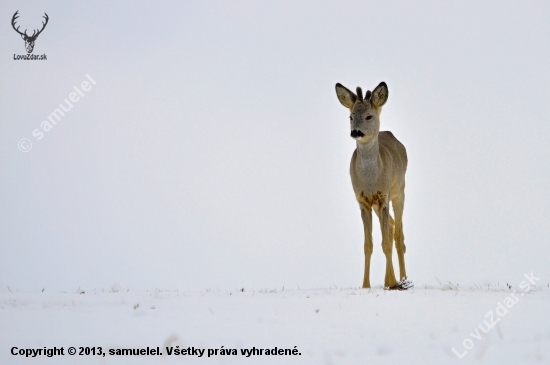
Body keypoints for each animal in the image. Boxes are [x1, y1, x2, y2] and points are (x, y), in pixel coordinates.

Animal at [334, 81, 412, 288]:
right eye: (351, 116)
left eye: (369, 116)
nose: (355, 132)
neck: (370, 179)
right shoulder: (363, 200)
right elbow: (368, 245)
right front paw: (366, 285)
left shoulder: (384, 196)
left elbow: (386, 243)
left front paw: (391, 282)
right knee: (392, 228)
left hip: (399, 191)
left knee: (398, 235)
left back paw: (403, 279)